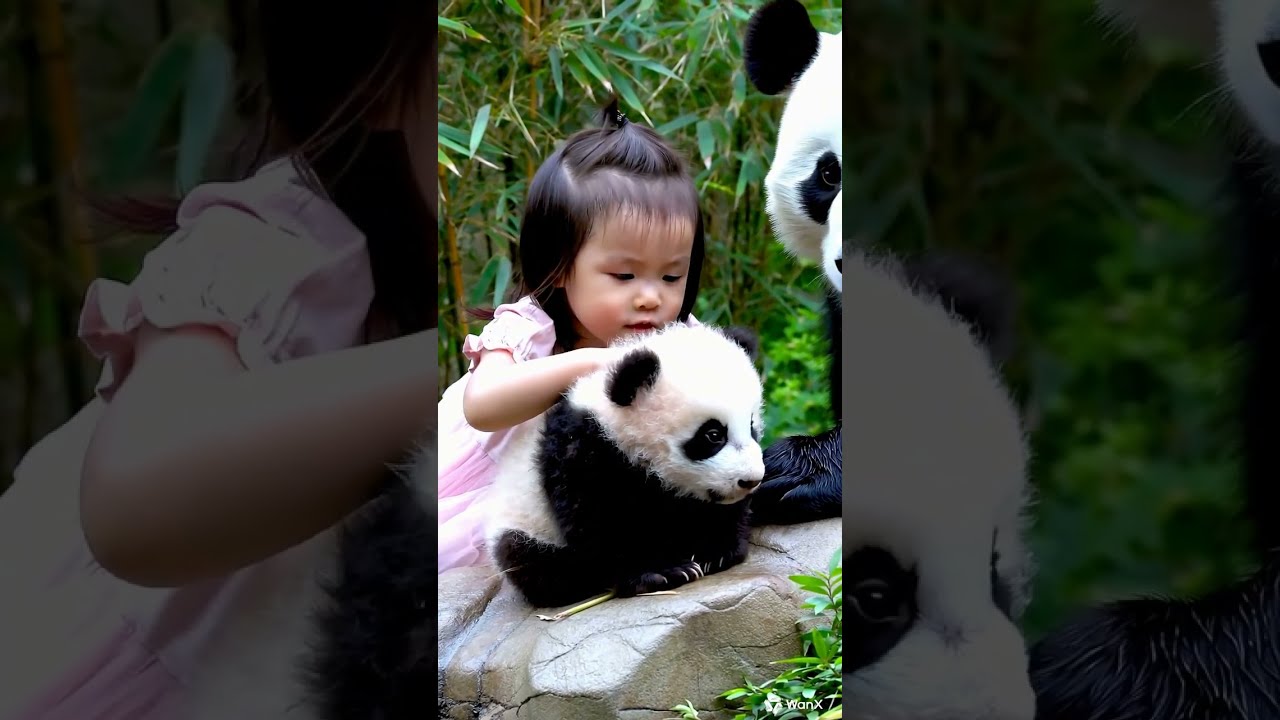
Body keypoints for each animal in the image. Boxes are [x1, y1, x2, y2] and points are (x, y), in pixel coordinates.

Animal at [483, 322, 766, 609]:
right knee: (529, 558)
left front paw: (717, 551)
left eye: (752, 426)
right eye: (713, 435)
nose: (751, 480)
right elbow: (601, 522)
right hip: (526, 523)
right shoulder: (584, 448)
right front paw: (662, 572)